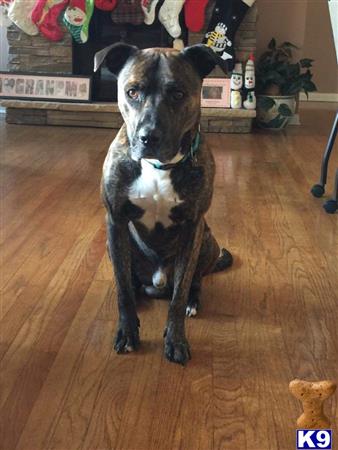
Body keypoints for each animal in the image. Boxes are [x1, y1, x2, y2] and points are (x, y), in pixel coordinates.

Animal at [94, 43, 232, 366]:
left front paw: (176, 340)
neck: (158, 166)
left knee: (194, 280)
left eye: (178, 93)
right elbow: (122, 289)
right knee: (130, 281)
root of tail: (155, 283)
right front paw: (127, 332)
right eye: (132, 91)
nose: (148, 136)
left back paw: (194, 301)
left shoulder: (193, 226)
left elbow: (179, 293)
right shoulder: (115, 222)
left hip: (208, 241)